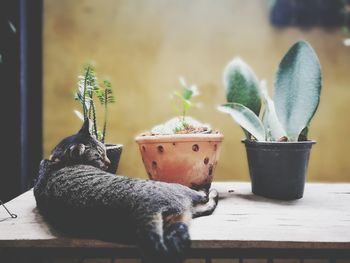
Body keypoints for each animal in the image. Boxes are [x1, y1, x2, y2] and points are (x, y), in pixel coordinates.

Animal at [33, 120, 219, 263]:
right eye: (98, 156)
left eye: (104, 150)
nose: (108, 162)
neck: (58, 162)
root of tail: (145, 212)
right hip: (178, 190)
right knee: (204, 199)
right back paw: (210, 190)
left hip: (179, 213)